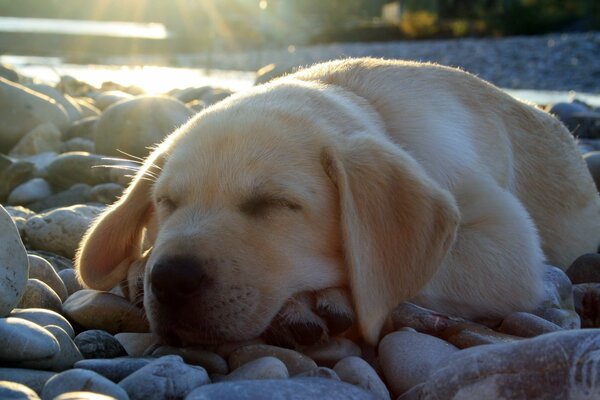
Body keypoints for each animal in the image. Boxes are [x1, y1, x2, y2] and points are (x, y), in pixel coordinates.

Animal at [76, 57, 600, 346]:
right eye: (166, 202)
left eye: (274, 204)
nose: (170, 279)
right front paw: (140, 264)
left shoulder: (508, 243)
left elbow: (408, 270)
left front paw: (318, 299)